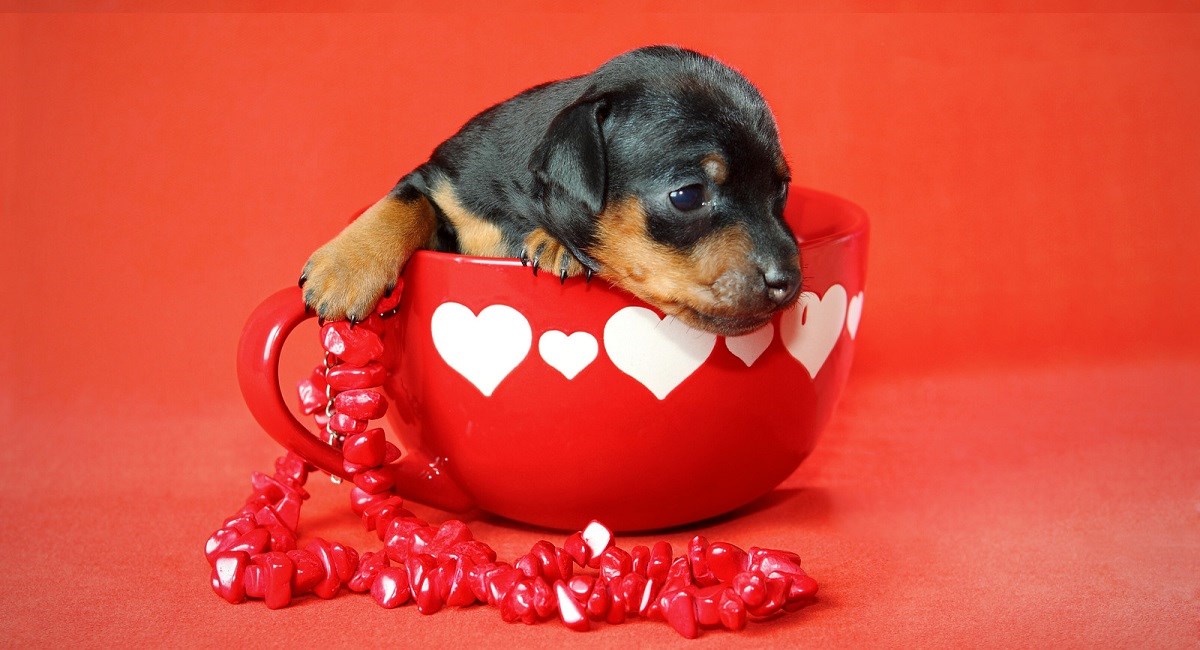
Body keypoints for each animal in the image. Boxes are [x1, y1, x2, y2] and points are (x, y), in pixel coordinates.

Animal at [302, 45, 806, 335]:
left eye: (780, 191)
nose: (788, 283)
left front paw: (555, 244)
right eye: (687, 196)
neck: (520, 213)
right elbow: (405, 203)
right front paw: (346, 269)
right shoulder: (442, 182)